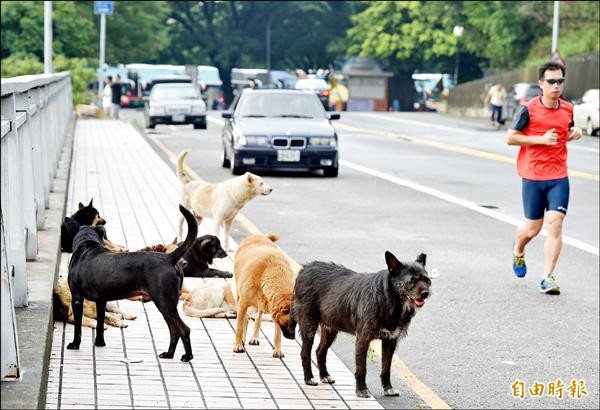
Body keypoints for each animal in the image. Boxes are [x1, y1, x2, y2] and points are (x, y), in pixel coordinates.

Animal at [64, 205, 198, 362]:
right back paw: (169, 354)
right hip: (168, 306)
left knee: (184, 329)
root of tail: (169, 258)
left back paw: (187, 356)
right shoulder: (101, 301)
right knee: (174, 330)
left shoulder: (77, 298)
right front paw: (99, 343)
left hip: (165, 304)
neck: (86, 244)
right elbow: (100, 323)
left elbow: (78, 327)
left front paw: (75, 344)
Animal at [288, 250, 432, 398]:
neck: (389, 298)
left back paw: (325, 375)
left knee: (320, 351)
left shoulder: (390, 341)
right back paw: (309, 378)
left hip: (330, 329)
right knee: (305, 353)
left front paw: (388, 388)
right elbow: (362, 368)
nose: (426, 293)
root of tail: (304, 269)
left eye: (427, 280)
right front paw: (361, 389)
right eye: (411, 280)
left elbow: (386, 368)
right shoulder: (363, 339)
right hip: (309, 327)